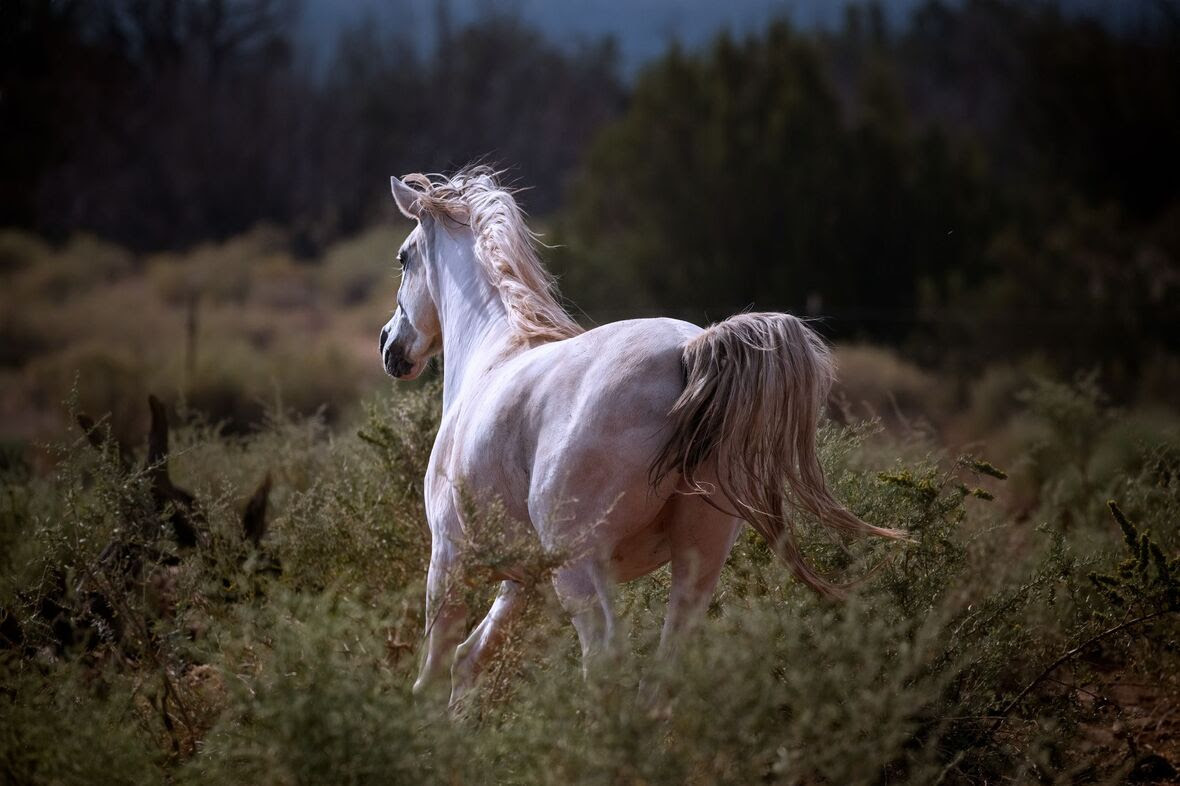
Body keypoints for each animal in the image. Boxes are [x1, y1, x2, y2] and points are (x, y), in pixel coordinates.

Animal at [377, 165, 901, 703]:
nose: (388, 345)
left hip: (581, 568)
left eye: (403, 257)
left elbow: (434, 670)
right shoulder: (523, 581)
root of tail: (690, 350)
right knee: (668, 661)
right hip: (697, 557)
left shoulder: (448, 560)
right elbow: (470, 661)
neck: (492, 357)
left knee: (604, 659)